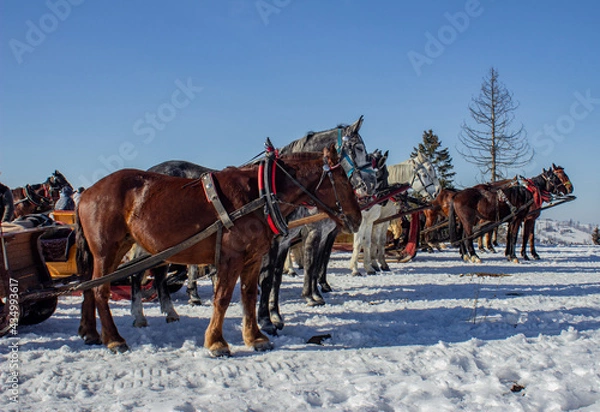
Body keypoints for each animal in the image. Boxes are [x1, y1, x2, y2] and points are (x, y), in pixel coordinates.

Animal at [77, 146, 364, 356]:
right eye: (343, 180)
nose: (357, 218)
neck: (260, 194)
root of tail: (87, 192)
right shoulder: (231, 258)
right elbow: (223, 298)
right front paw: (217, 342)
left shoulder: (253, 258)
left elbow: (249, 296)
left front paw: (255, 337)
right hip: (106, 249)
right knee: (101, 289)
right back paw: (114, 338)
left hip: (118, 248)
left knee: (89, 286)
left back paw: (91, 332)